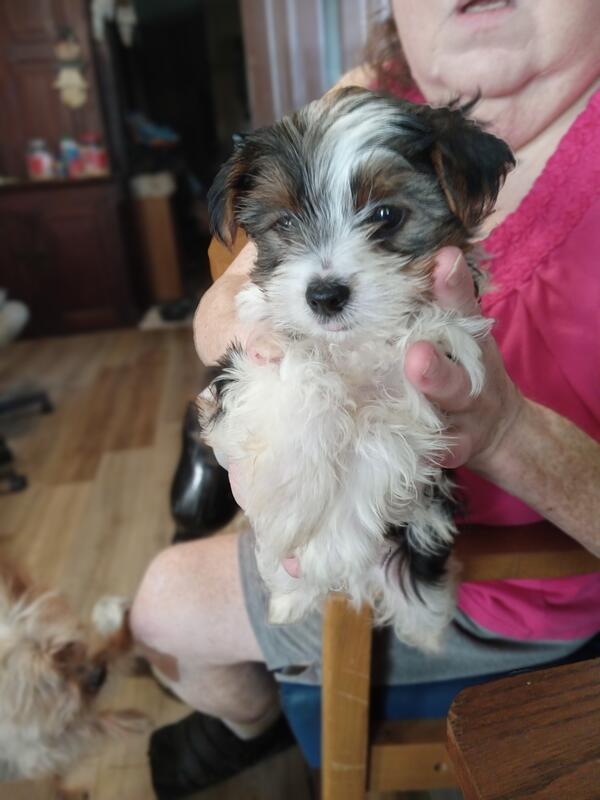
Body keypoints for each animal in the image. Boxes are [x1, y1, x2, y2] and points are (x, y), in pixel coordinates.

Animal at [0, 561, 148, 796]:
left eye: (66, 648)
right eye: (46, 686)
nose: (98, 675)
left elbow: (113, 650)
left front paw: (119, 618)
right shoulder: (39, 752)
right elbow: (87, 726)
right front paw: (132, 721)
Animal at [200, 87, 514, 652]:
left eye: (386, 215)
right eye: (285, 224)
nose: (324, 295)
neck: (352, 345)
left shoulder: (438, 368)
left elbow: (379, 436)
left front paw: (329, 545)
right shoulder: (248, 361)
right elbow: (302, 384)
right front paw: (293, 499)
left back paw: (420, 623)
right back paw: (290, 595)